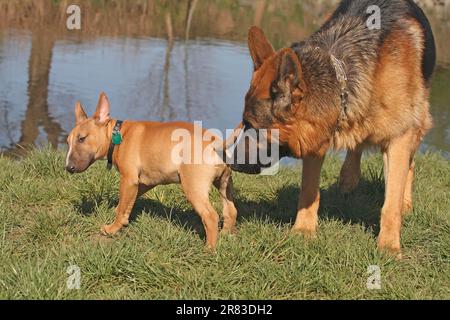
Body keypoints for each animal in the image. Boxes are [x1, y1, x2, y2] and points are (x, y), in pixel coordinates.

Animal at [66, 91, 239, 249]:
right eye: (68, 142)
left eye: (82, 138)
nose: (68, 168)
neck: (118, 134)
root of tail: (216, 143)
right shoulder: (145, 182)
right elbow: (126, 203)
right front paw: (119, 214)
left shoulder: (128, 180)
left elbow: (123, 207)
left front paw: (113, 228)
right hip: (224, 184)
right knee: (231, 211)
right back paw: (225, 235)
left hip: (193, 187)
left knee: (210, 216)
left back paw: (209, 249)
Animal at [234, 0, 438, 255]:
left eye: (252, 126)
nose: (227, 160)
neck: (343, 78)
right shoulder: (317, 138)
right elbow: (308, 190)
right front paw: (303, 231)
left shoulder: (400, 136)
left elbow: (391, 203)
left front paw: (389, 245)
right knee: (357, 147)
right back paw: (348, 178)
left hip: (417, 122)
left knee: (407, 166)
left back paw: (405, 203)